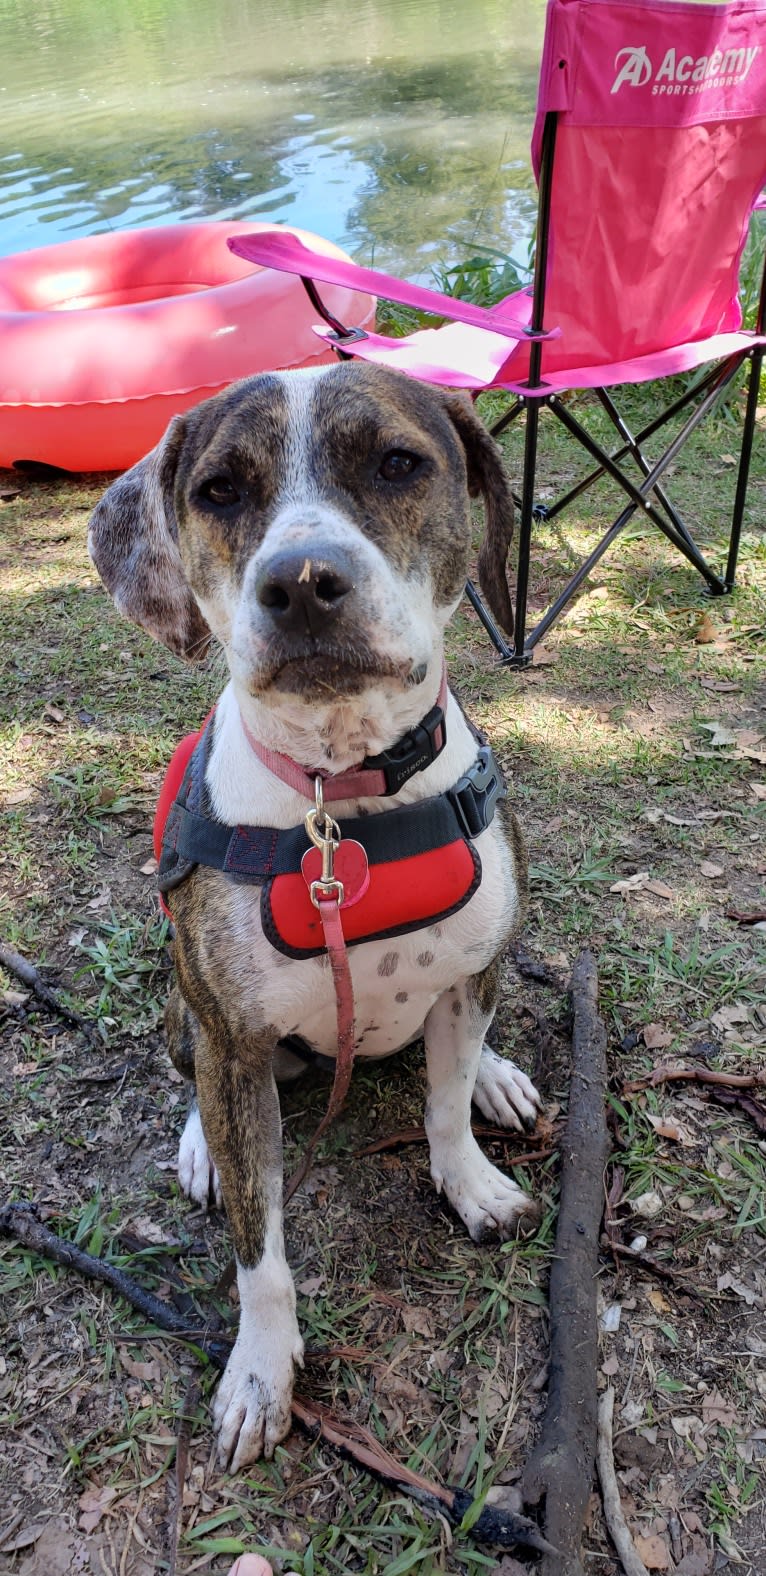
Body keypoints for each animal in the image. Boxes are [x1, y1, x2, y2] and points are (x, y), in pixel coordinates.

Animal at [89, 362, 542, 1468]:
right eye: (218, 491)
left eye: (397, 464)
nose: (298, 581)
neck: (344, 799)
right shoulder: (237, 1036)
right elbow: (260, 1250)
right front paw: (262, 1369)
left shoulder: (467, 975)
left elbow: (441, 1104)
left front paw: (469, 1176)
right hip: (193, 1017)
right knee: (191, 1069)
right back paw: (201, 1147)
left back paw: (498, 1076)